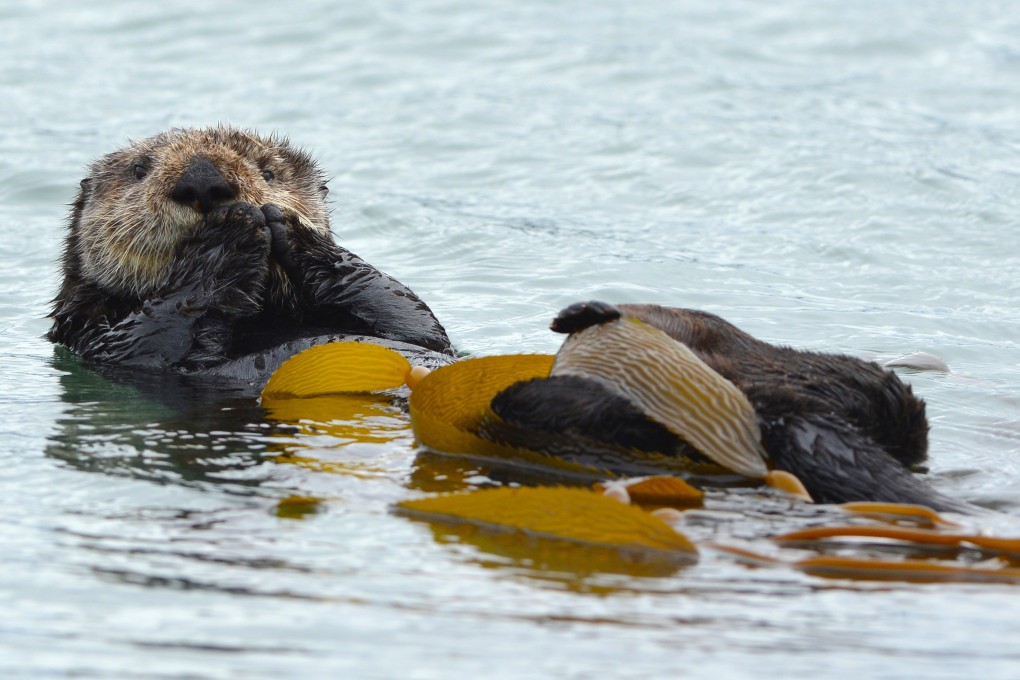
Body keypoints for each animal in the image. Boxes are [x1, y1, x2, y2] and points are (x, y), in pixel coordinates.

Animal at [49, 126, 453, 385]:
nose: (202, 180)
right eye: (138, 170)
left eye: (268, 172)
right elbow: (149, 335)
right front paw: (228, 236)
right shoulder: (91, 334)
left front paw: (295, 231)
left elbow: (416, 320)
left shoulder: (424, 335)